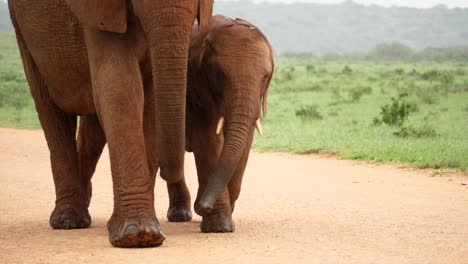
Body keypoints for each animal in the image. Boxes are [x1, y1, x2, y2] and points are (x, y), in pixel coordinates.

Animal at [8, 0, 213, 248]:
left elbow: (149, 98)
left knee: (92, 128)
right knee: (50, 109)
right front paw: (137, 235)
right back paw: (68, 221)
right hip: (22, 32)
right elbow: (120, 86)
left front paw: (146, 233)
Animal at [186, 15, 274, 232]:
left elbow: (246, 140)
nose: (203, 205)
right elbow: (209, 139)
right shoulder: (195, 87)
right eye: (220, 75)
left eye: (265, 77)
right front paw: (219, 227)